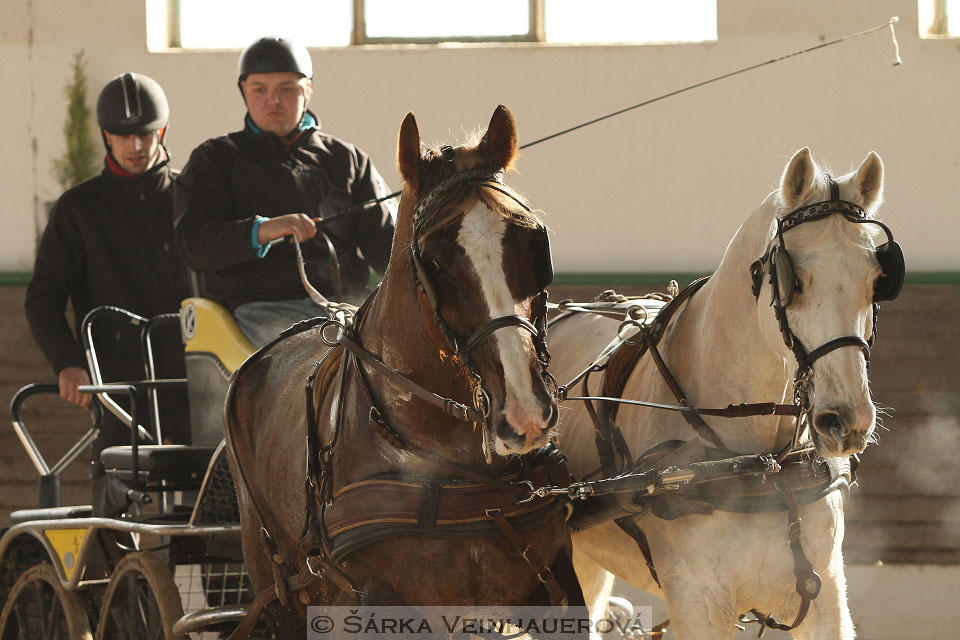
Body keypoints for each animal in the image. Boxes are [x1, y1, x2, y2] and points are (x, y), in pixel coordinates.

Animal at [226, 107, 584, 636]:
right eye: (433, 260)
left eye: (533, 240)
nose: (525, 412)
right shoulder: (379, 604)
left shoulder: (552, 583)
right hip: (280, 592)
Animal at [552, 150, 896, 640]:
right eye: (794, 278)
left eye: (875, 279)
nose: (845, 421)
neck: (760, 465)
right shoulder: (698, 603)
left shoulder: (826, 595)